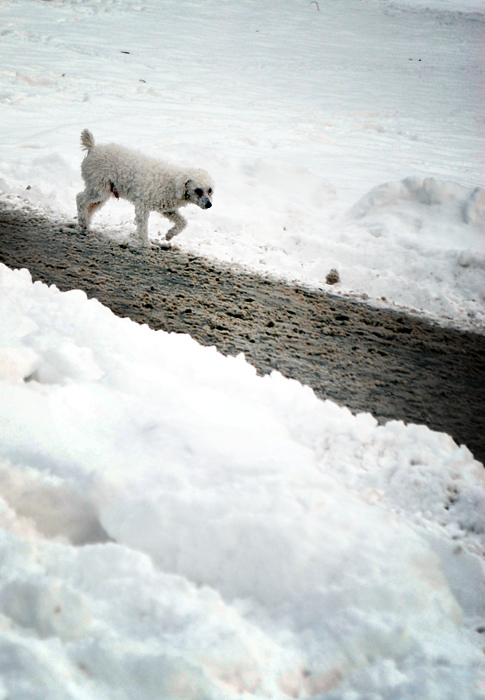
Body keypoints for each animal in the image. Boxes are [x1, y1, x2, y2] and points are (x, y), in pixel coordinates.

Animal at [75, 130, 212, 247]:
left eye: (210, 190)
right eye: (198, 190)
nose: (209, 204)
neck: (172, 183)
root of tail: (93, 148)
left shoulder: (167, 209)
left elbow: (182, 222)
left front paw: (169, 235)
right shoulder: (142, 206)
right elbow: (142, 227)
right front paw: (146, 244)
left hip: (103, 194)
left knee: (89, 207)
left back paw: (85, 225)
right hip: (99, 189)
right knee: (80, 199)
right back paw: (82, 221)